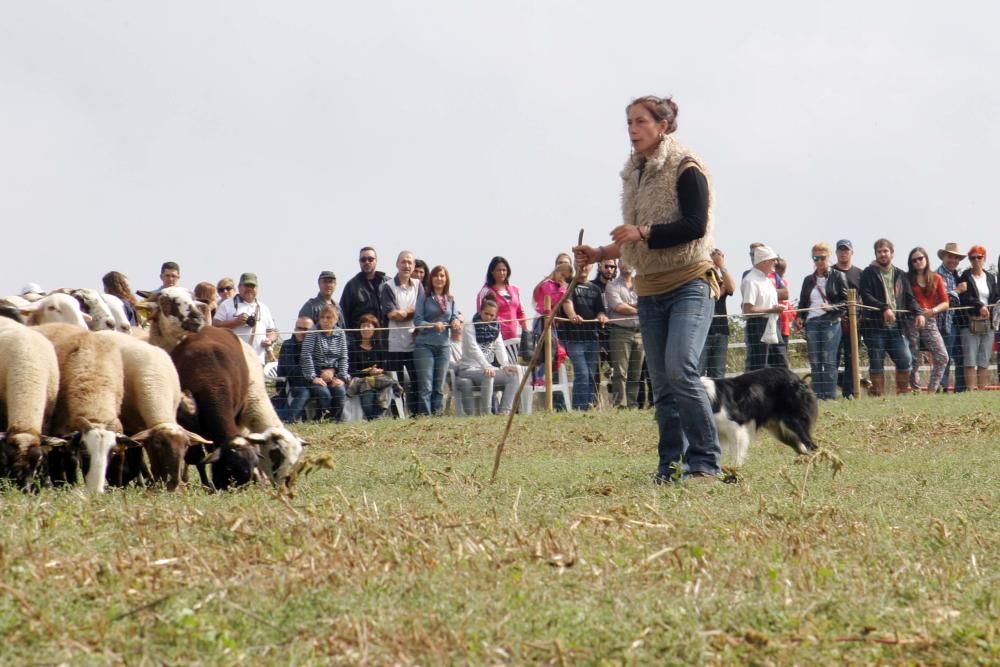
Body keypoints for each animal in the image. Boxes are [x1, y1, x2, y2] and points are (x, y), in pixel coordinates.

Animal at [36, 320, 129, 494]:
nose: (96, 492)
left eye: (112, 453)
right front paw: (65, 486)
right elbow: (68, 461)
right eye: (85, 453)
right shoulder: (61, 433)